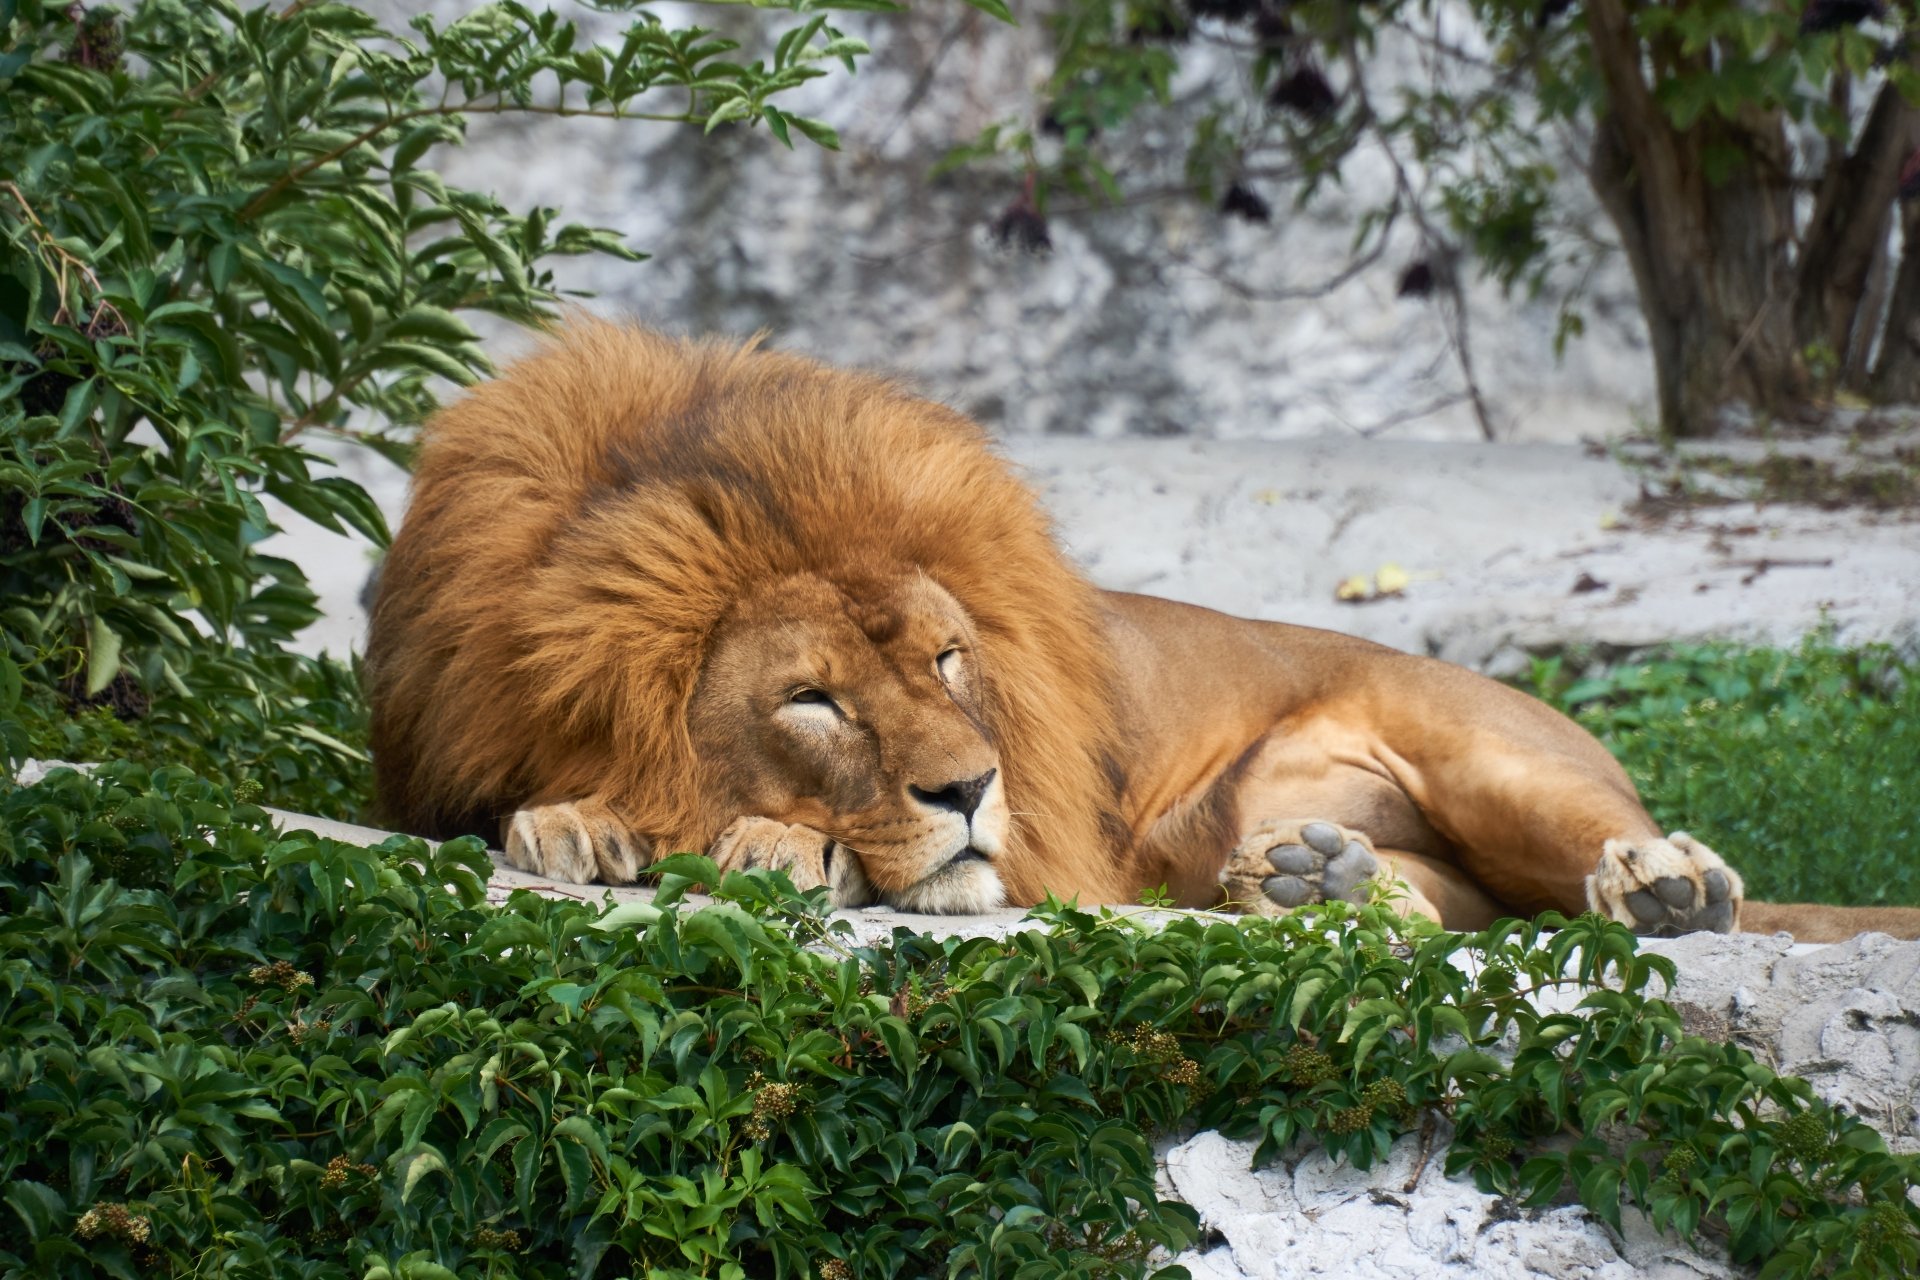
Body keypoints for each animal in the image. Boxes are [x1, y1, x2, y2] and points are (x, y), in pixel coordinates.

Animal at [367, 322, 1920, 944]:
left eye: (947, 661)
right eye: (814, 699)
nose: (972, 786)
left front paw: (769, 843)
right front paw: (574, 820)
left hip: (1497, 759)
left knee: (1614, 856)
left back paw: (1665, 888)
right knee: (1442, 909)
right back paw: (1316, 882)